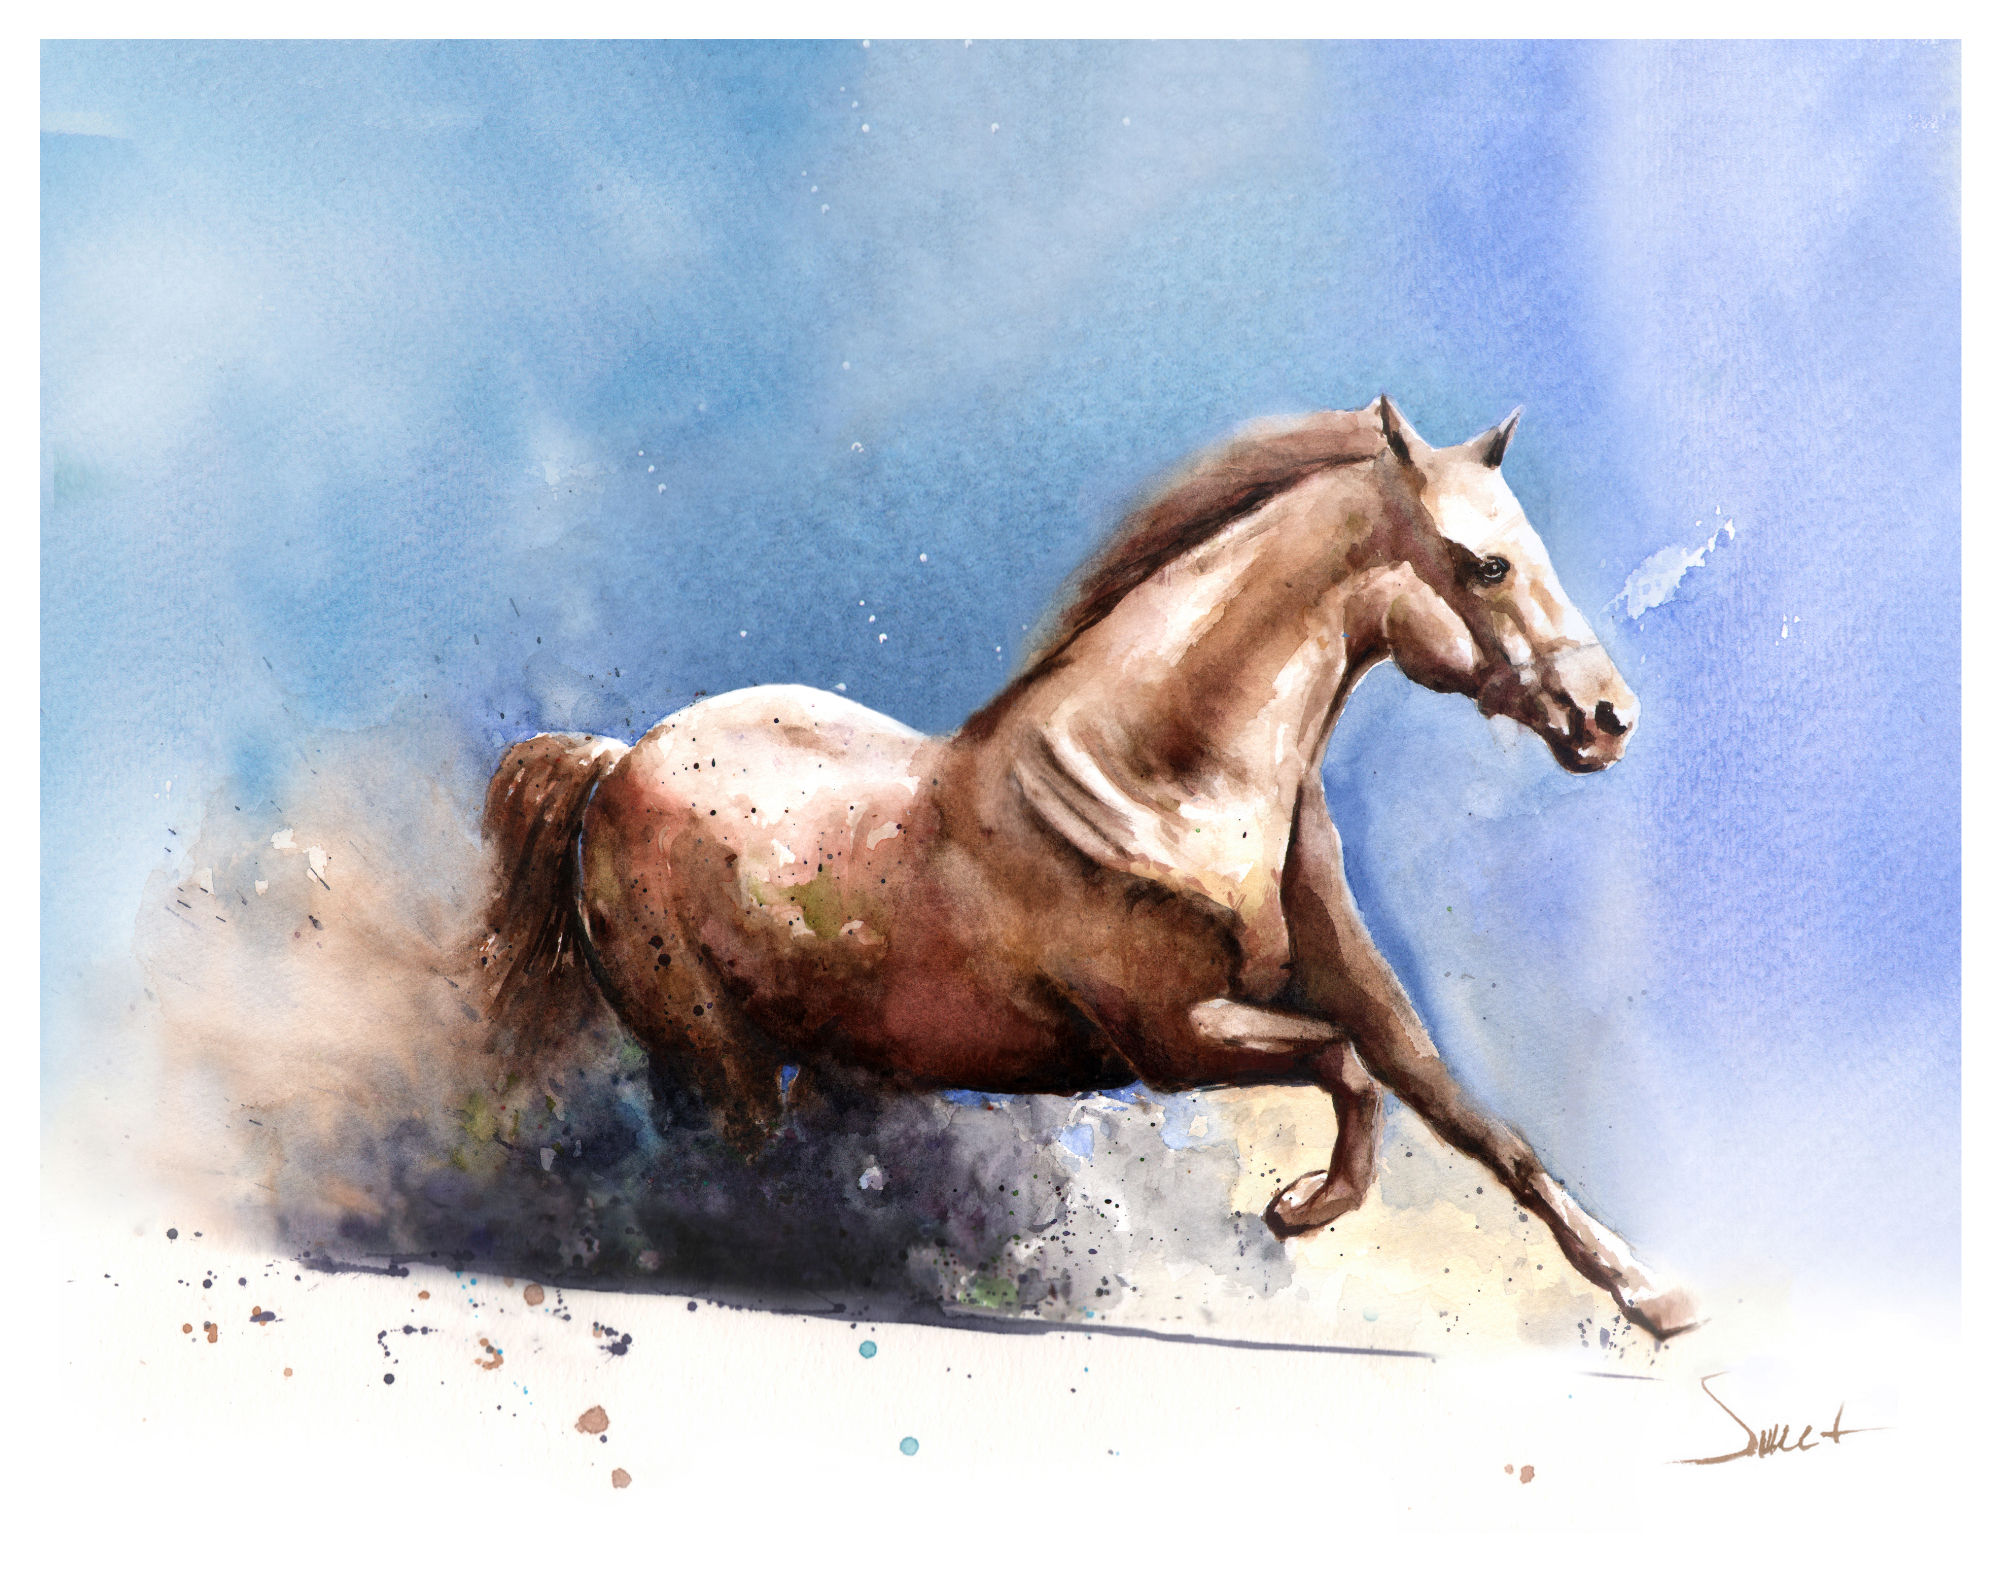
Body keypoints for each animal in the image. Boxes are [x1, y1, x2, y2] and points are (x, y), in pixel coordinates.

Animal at [480, 396, 1699, 1340]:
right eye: (1483, 564)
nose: (1609, 718)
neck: (1161, 781)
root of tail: (615, 761)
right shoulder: (1172, 1040)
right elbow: (1345, 1068)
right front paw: (1300, 1208)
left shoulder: (1352, 994)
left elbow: (1476, 1125)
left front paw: (1656, 1299)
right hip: (711, 1056)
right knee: (732, 1169)